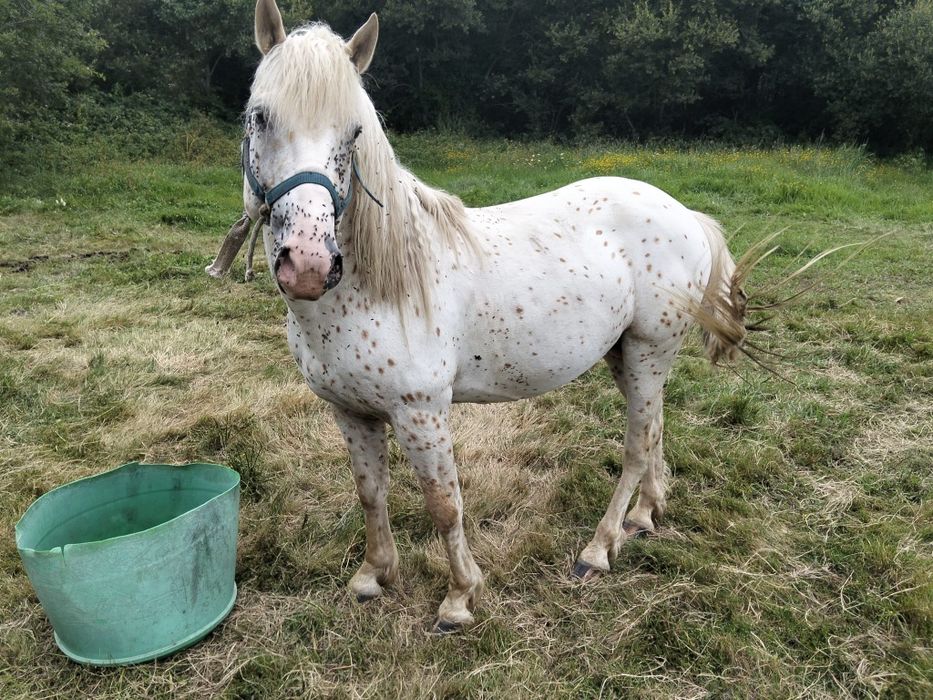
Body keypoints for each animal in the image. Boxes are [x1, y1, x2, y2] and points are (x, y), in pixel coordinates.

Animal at [241, 1, 752, 633]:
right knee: (654, 429)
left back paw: (598, 549)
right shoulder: (349, 412)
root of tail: (685, 214)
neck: (379, 284)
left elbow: (444, 505)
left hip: (649, 349)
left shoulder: (421, 412)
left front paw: (459, 598)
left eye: (353, 134)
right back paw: (644, 518)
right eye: (260, 117)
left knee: (636, 446)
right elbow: (370, 492)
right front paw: (372, 576)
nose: (310, 263)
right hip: (627, 355)